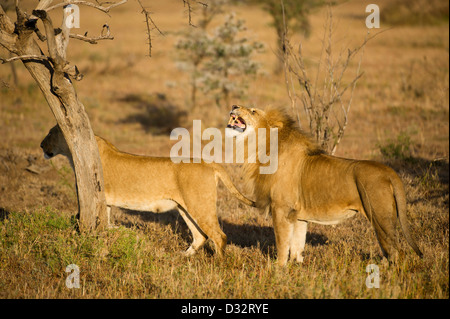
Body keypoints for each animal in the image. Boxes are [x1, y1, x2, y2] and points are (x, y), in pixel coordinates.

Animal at [40, 125, 255, 258]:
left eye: (50, 133)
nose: (41, 145)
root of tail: (208, 162)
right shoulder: (105, 201)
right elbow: (106, 223)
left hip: (199, 205)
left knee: (219, 236)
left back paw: (218, 265)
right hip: (185, 208)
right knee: (200, 236)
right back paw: (183, 257)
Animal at [227, 105, 424, 268]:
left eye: (253, 111)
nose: (234, 105)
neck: (262, 147)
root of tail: (389, 171)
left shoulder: (281, 209)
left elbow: (282, 242)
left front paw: (278, 267)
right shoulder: (298, 215)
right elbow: (297, 243)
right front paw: (297, 265)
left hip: (380, 217)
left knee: (395, 250)